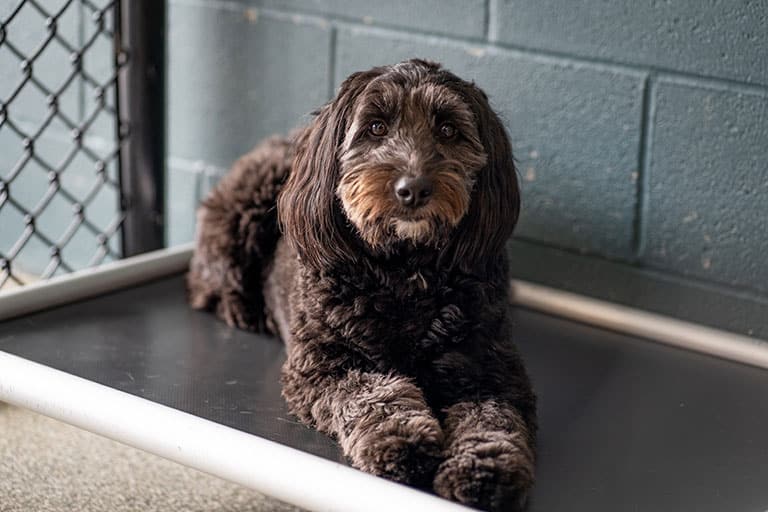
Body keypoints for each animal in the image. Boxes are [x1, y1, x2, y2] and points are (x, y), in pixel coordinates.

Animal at [188, 60, 536, 512]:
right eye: (375, 127)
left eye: (447, 129)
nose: (413, 189)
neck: (406, 271)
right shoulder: (322, 367)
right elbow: (370, 394)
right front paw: (402, 439)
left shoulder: (492, 371)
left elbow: (494, 419)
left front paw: (486, 468)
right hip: (242, 201)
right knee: (206, 276)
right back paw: (240, 306)